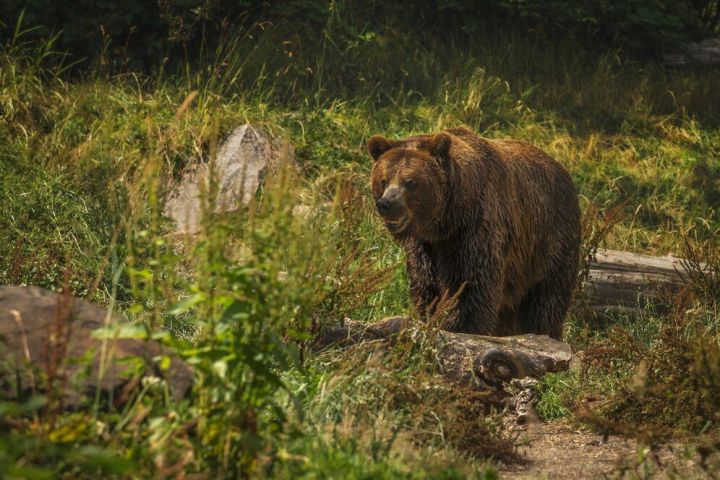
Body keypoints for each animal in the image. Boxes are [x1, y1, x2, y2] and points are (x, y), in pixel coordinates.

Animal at [368, 126, 581, 339]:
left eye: (411, 182)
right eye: (383, 180)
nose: (386, 203)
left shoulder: (474, 230)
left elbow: (470, 284)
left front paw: (458, 326)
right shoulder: (425, 245)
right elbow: (425, 283)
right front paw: (430, 315)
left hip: (549, 242)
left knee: (546, 299)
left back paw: (543, 331)